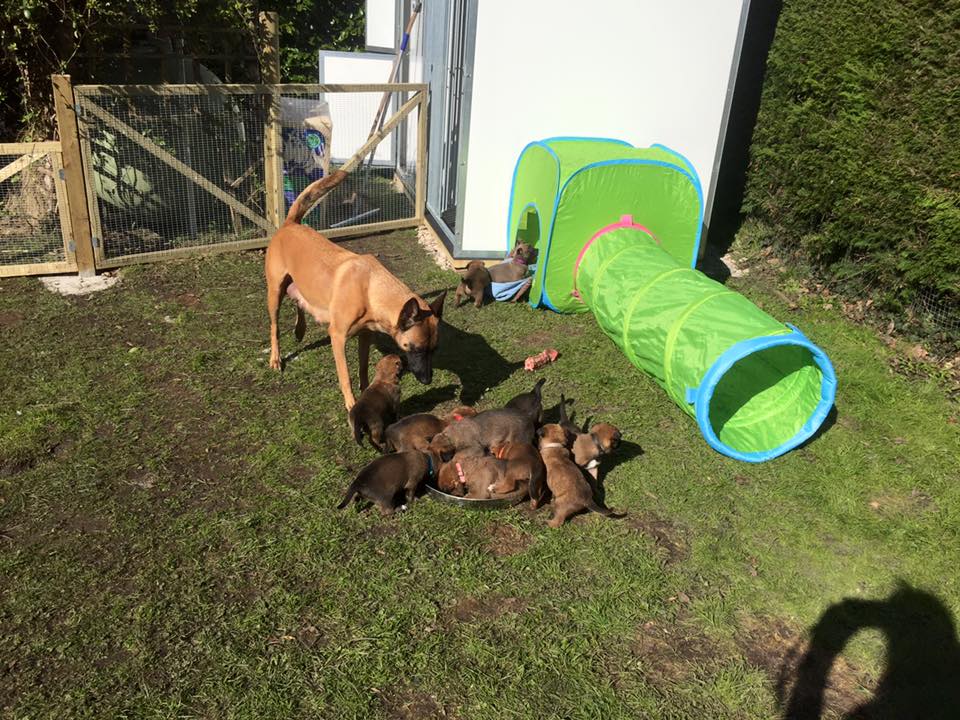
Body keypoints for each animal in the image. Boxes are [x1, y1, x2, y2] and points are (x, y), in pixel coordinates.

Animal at [264, 170, 446, 410]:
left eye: (434, 349)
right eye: (415, 349)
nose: (427, 380)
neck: (371, 289)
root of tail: (290, 224)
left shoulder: (365, 335)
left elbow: (363, 367)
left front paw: (367, 390)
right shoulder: (338, 337)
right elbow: (346, 376)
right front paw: (352, 404)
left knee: (299, 300)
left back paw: (299, 329)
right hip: (274, 292)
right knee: (274, 327)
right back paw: (276, 358)